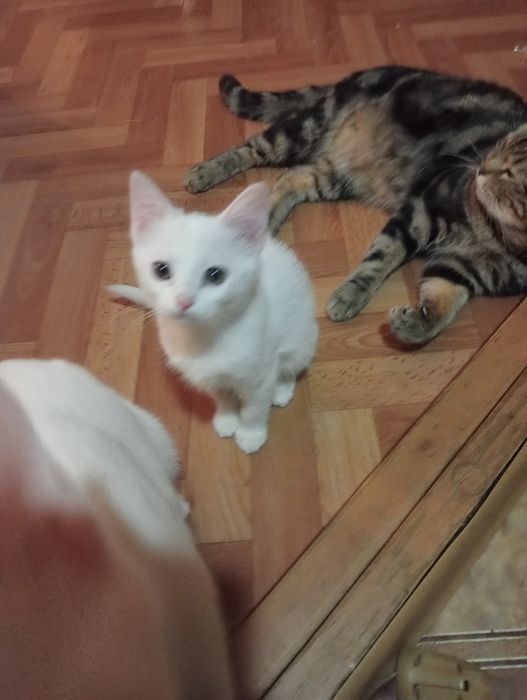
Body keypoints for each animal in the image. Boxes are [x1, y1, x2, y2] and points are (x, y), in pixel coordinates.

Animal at [114, 172, 317, 454]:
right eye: (161, 270)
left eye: (215, 275)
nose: (184, 301)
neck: (204, 338)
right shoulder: (208, 378)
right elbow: (222, 397)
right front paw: (227, 418)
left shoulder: (260, 374)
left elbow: (255, 407)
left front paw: (251, 434)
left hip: (301, 335)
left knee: (291, 364)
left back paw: (282, 389)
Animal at [185, 66, 527, 344]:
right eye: (500, 146)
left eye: (510, 173)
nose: (481, 168)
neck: (499, 237)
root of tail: (358, 74)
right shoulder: (420, 211)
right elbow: (380, 259)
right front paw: (351, 294)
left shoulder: (465, 269)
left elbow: (442, 307)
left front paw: (414, 325)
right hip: (304, 131)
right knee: (251, 149)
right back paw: (205, 173)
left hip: (339, 173)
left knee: (292, 177)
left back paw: (264, 224)